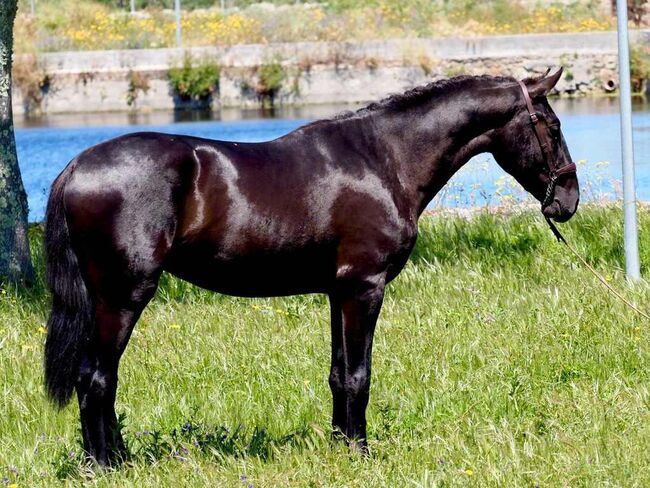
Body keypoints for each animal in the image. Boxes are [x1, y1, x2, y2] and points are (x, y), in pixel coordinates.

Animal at [43, 68, 576, 466]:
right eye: (552, 127)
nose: (568, 200)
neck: (383, 159)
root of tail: (76, 167)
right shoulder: (364, 288)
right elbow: (359, 376)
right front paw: (361, 454)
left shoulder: (338, 292)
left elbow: (339, 375)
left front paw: (342, 447)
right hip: (122, 297)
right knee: (96, 379)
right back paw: (106, 465)